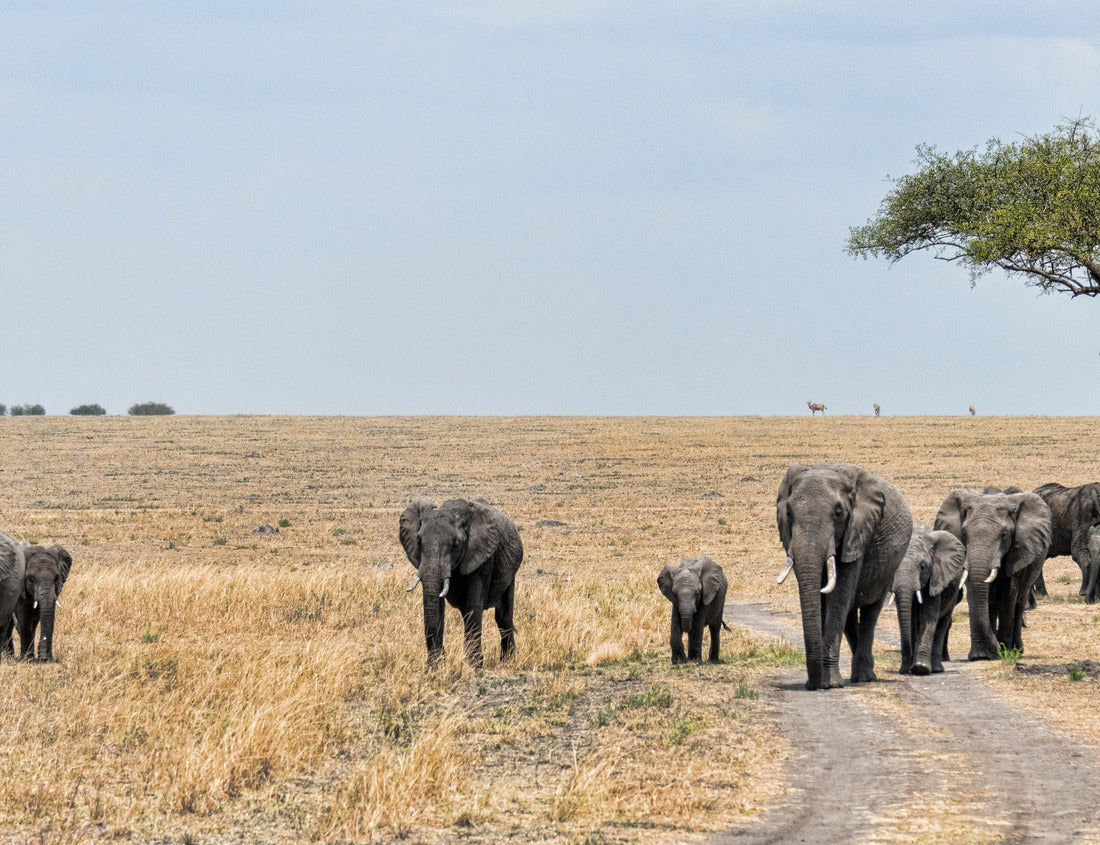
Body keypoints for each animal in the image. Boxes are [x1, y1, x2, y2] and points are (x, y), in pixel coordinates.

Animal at [399, 497, 523, 668]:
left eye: (456, 544)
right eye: (418, 540)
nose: (435, 661)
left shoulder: (482, 556)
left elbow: (473, 606)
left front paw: (474, 666)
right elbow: (438, 606)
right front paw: (435, 666)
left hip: (510, 572)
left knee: (503, 617)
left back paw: (507, 663)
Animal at [776, 463, 913, 690]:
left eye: (839, 513)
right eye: (788, 512)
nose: (811, 685)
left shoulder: (857, 533)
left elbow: (838, 595)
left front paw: (830, 683)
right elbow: (823, 599)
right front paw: (822, 682)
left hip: (888, 570)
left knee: (869, 611)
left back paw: (864, 677)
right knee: (849, 612)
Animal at [890, 526, 966, 675]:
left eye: (922, 567)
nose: (904, 670)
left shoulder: (936, 578)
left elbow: (929, 616)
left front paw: (921, 668)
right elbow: (910, 617)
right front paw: (910, 668)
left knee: (942, 624)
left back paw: (936, 668)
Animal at [935, 489, 1051, 660]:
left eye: (1004, 534)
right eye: (964, 533)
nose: (997, 648)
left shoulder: (1018, 551)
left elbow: (1009, 595)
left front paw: (1004, 652)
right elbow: (975, 591)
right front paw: (981, 655)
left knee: (1019, 601)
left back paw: (1016, 649)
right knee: (992, 603)